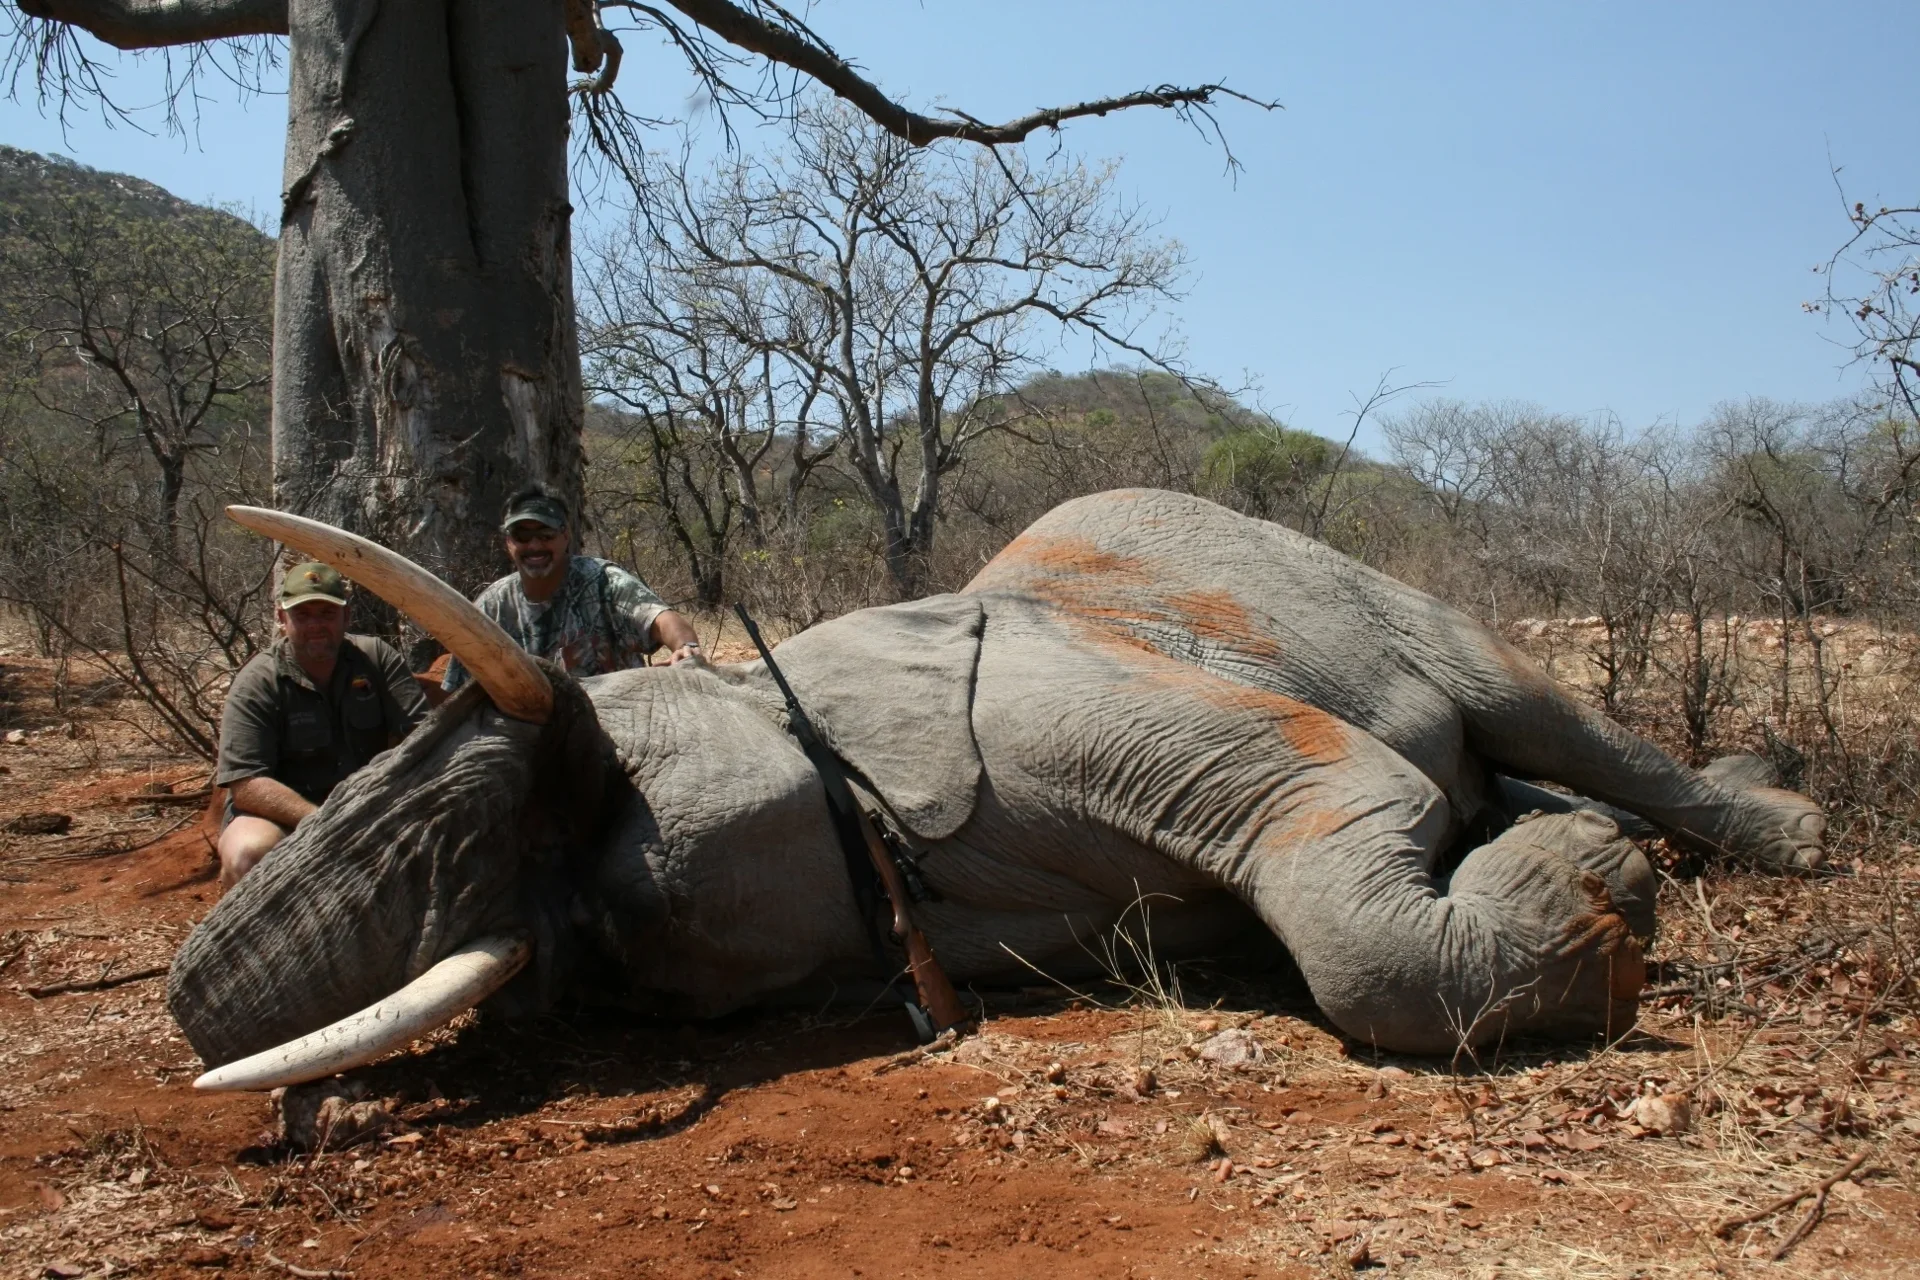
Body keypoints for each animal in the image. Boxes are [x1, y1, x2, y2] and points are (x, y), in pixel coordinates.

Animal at [168, 489, 1826, 1086]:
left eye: (592, 766)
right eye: (602, 957)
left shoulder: (1041, 712)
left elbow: (1349, 811)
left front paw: (1610, 898)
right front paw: (1591, 877)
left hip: (1390, 597)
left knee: (1535, 711)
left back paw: (1750, 830)